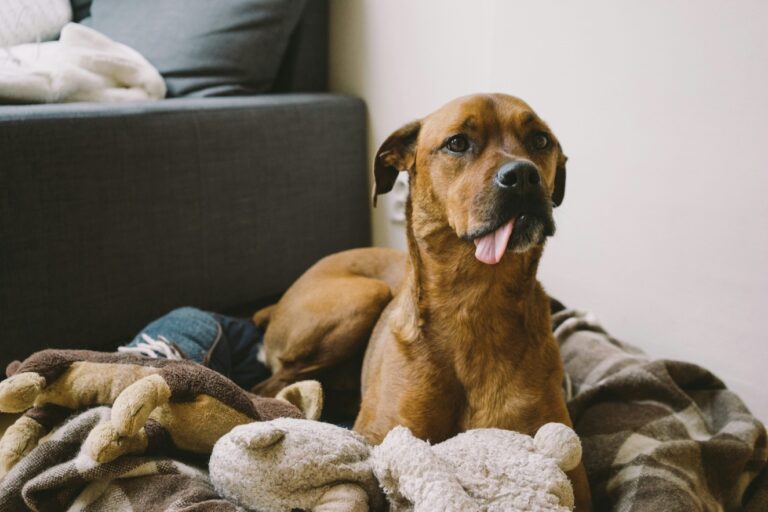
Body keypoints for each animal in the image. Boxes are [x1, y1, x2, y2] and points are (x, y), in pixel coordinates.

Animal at [255, 95, 592, 508]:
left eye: (541, 140)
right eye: (457, 143)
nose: (525, 176)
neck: (474, 302)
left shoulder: (571, 475)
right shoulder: (386, 437)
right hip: (363, 298)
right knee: (269, 387)